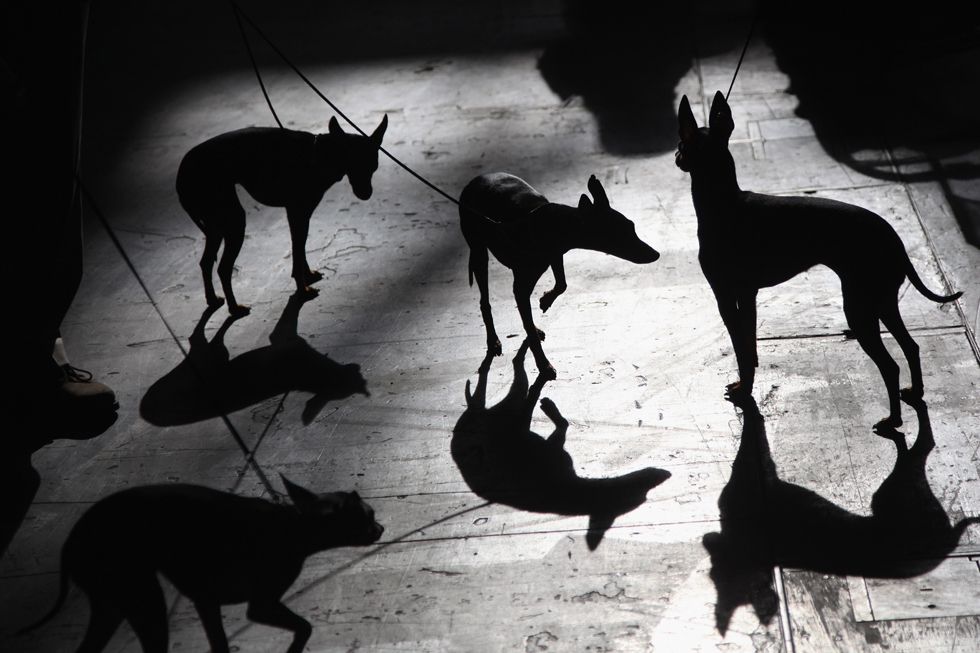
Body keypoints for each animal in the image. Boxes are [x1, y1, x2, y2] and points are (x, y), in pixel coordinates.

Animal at [18, 477, 383, 653]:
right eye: (370, 516)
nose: (382, 528)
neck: (296, 524)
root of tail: (70, 542)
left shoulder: (206, 601)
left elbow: (220, 644)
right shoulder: (261, 605)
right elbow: (305, 627)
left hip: (113, 603)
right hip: (142, 599)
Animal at [176, 115, 388, 316]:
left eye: (373, 166)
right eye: (352, 165)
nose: (366, 194)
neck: (318, 153)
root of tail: (181, 172)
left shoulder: (299, 215)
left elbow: (300, 248)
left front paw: (307, 274)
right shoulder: (298, 213)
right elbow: (297, 252)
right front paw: (302, 290)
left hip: (215, 225)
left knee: (206, 262)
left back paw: (213, 299)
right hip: (233, 219)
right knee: (223, 268)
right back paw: (235, 308)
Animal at [459, 173, 660, 379]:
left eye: (632, 226)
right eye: (620, 235)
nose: (656, 254)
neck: (555, 225)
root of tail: (475, 180)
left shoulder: (555, 256)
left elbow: (562, 284)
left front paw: (545, 300)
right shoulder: (522, 284)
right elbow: (530, 327)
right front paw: (543, 364)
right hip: (479, 253)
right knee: (485, 301)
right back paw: (493, 340)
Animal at [676, 91, 962, 428]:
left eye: (682, 143)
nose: (676, 155)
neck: (723, 203)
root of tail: (895, 240)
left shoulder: (725, 296)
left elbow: (741, 350)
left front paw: (744, 391)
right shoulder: (747, 296)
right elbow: (749, 347)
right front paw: (747, 381)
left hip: (859, 309)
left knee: (889, 365)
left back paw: (892, 420)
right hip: (881, 301)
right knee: (911, 346)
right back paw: (915, 392)